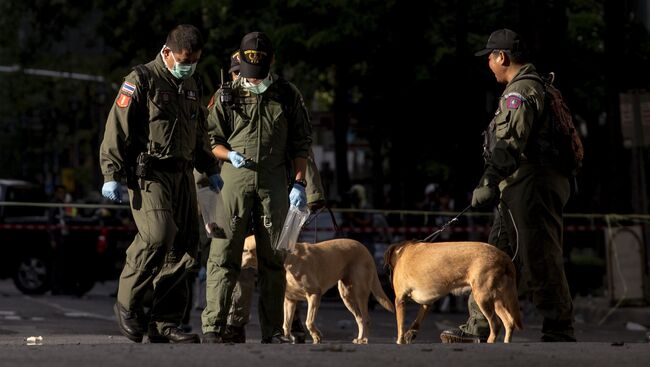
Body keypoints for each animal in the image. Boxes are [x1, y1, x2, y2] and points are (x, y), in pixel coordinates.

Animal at [384, 242, 520, 344]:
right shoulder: (427, 302)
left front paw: (400, 341)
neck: (402, 251)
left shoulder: (400, 300)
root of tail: (504, 258)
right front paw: (411, 333)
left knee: (495, 324)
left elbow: (400, 325)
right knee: (509, 322)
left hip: (482, 297)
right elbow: (417, 319)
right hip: (496, 300)